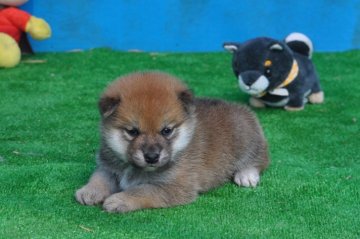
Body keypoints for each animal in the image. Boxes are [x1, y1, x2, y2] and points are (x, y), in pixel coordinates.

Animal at [75, 71, 268, 213]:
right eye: (132, 132)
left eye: (166, 131)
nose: (152, 157)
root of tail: (240, 109)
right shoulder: (109, 166)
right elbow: (99, 177)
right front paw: (89, 190)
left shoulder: (174, 186)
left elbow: (142, 190)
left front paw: (119, 199)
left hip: (248, 141)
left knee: (259, 160)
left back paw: (246, 175)